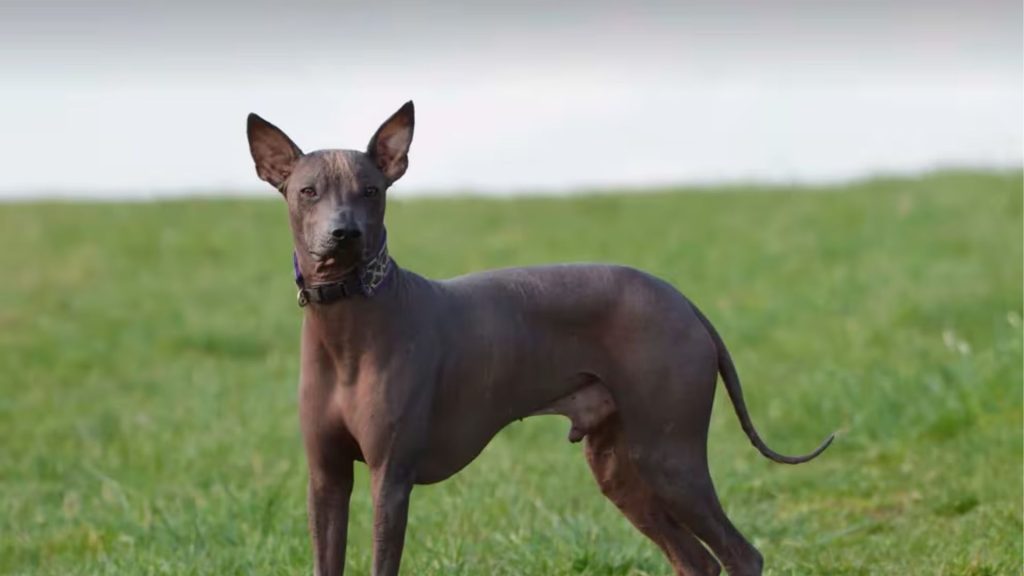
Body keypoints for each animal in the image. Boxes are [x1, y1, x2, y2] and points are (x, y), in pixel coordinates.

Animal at [245, 100, 831, 569]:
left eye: (370, 190)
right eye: (308, 192)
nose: (344, 233)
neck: (347, 325)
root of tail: (681, 300)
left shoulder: (390, 480)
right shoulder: (326, 479)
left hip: (669, 458)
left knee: (741, 555)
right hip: (622, 471)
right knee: (698, 561)